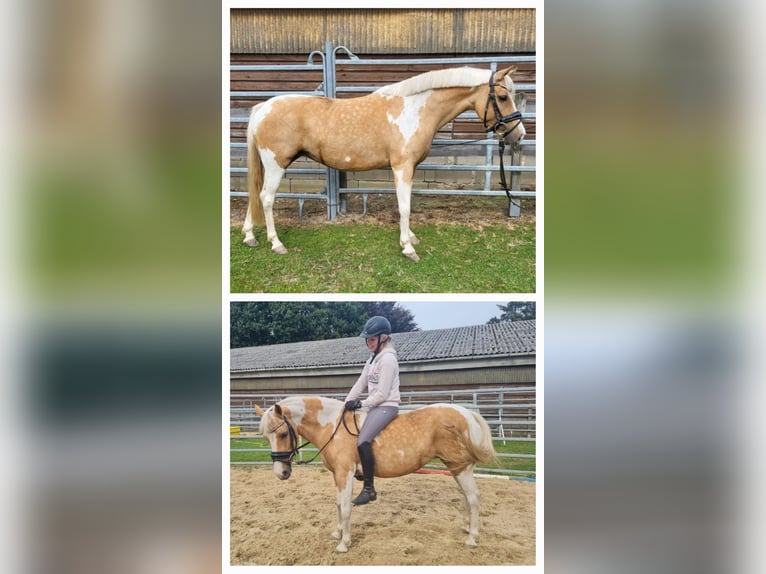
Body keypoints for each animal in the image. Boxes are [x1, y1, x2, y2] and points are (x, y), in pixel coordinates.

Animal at [246, 66, 528, 262]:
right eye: (502, 97)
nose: (519, 134)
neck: (414, 111)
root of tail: (263, 107)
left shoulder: (410, 168)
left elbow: (406, 205)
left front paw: (410, 237)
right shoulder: (402, 167)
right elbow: (405, 207)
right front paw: (408, 247)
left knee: (256, 195)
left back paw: (249, 236)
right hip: (276, 164)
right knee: (266, 198)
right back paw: (276, 243)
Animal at [255, 398, 500, 556]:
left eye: (283, 434)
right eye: (266, 437)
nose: (281, 473)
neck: (333, 427)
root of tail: (467, 413)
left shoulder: (345, 472)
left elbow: (346, 507)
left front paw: (344, 543)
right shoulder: (337, 474)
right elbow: (338, 504)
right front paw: (337, 533)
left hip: (461, 467)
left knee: (473, 498)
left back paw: (472, 538)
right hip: (457, 468)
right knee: (468, 498)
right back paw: (468, 529)